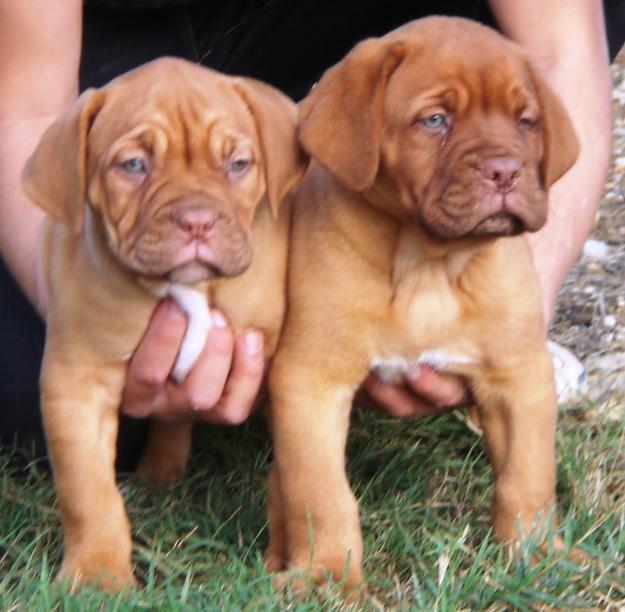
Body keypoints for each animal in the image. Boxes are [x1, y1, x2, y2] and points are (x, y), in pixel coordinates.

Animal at [23, 58, 306, 592]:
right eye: (133, 165)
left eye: (238, 165)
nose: (196, 221)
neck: (187, 288)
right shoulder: (75, 385)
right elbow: (87, 491)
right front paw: (96, 575)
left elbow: (294, 473)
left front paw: (292, 556)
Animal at [266, 16, 580, 596]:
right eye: (435, 120)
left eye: (525, 121)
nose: (506, 171)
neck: (428, 265)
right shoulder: (309, 383)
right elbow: (321, 494)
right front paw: (328, 574)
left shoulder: (519, 378)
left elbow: (528, 477)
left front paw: (539, 555)